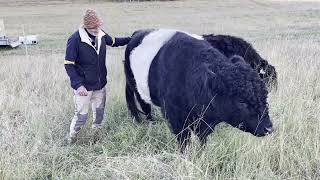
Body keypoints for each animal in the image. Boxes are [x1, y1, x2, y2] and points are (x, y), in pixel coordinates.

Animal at [124, 29, 274, 150]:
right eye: (242, 102)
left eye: (265, 97)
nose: (268, 128)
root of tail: (137, 33)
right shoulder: (176, 118)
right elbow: (184, 141)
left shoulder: (205, 122)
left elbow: (202, 139)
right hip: (137, 89)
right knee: (145, 108)